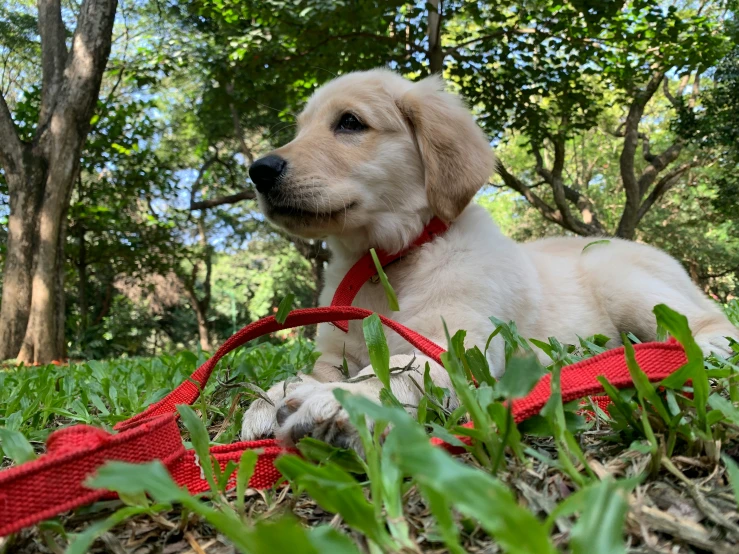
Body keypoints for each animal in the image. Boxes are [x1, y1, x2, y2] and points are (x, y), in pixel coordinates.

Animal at [241, 69, 736, 448]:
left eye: (349, 122)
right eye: (300, 130)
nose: (258, 171)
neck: (385, 259)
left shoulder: (461, 348)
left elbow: (401, 369)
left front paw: (336, 401)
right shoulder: (336, 351)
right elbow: (312, 370)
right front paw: (275, 396)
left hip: (619, 277)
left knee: (711, 322)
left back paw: (694, 351)